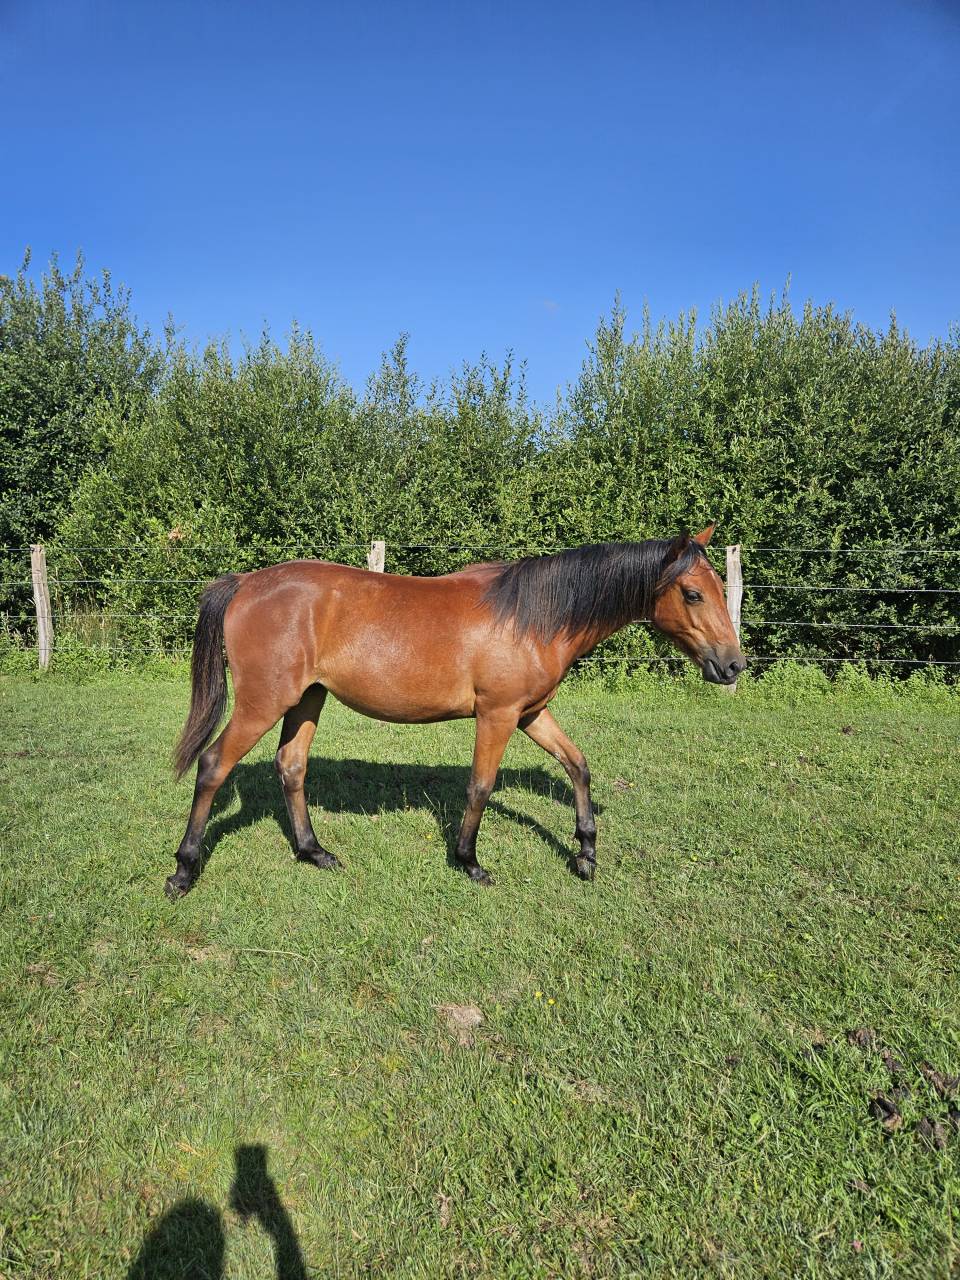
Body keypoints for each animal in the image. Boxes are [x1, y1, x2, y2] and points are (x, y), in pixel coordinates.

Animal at [166, 524, 745, 898]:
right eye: (692, 593)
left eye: (720, 588)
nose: (732, 665)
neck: (532, 617)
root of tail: (246, 582)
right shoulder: (498, 715)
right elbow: (480, 786)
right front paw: (469, 862)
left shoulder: (532, 714)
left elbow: (577, 765)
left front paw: (585, 853)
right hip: (263, 702)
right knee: (213, 766)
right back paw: (184, 871)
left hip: (307, 698)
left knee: (291, 767)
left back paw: (315, 852)